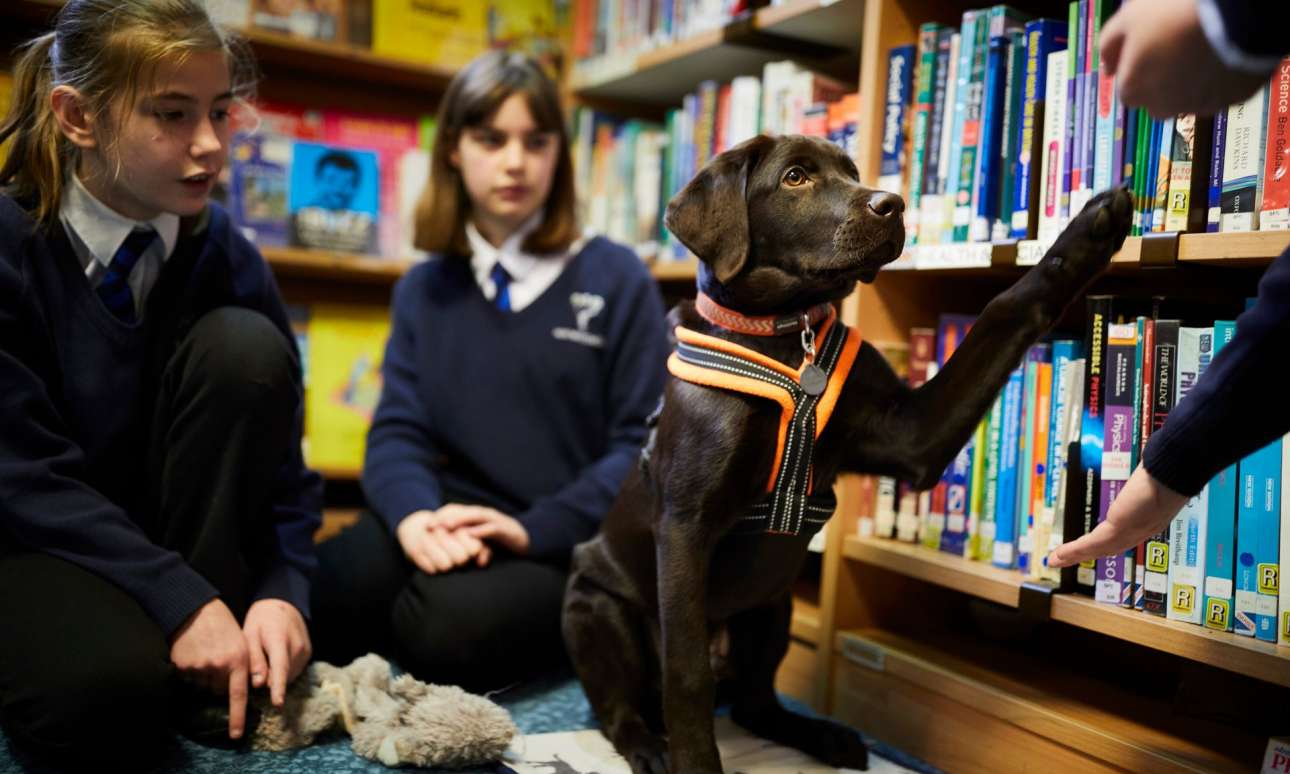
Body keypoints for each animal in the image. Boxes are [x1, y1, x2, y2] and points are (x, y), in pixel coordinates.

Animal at [561, 133, 1132, 774]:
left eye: (853, 172)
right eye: (795, 177)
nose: (894, 203)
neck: (788, 338)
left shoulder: (913, 435)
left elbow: (1003, 310)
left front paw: (1090, 231)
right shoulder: (685, 525)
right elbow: (686, 677)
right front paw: (695, 764)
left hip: (772, 609)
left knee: (755, 704)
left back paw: (823, 736)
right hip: (594, 609)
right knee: (623, 707)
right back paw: (649, 748)